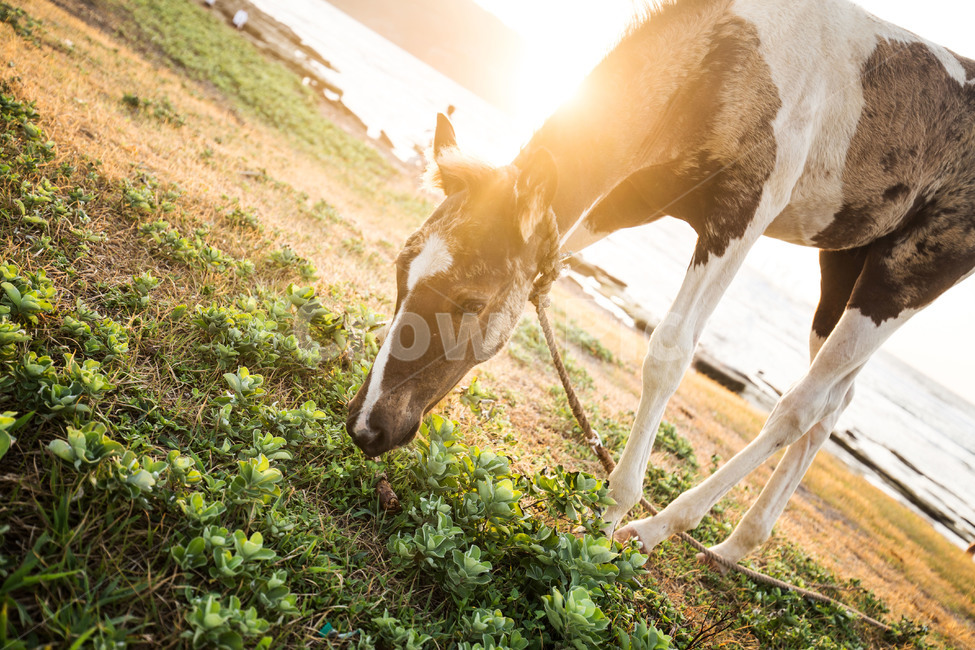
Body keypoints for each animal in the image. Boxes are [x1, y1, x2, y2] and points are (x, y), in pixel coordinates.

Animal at [347, 0, 975, 565]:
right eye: (401, 272)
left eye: (470, 301)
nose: (365, 426)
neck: (728, 61)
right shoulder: (628, 199)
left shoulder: (744, 215)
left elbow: (669, 353)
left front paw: (611, 513)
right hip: (843, 265)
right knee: (836, 403)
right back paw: (736, 546)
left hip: (902, 278)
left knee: (803, 403)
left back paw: (661, 527)